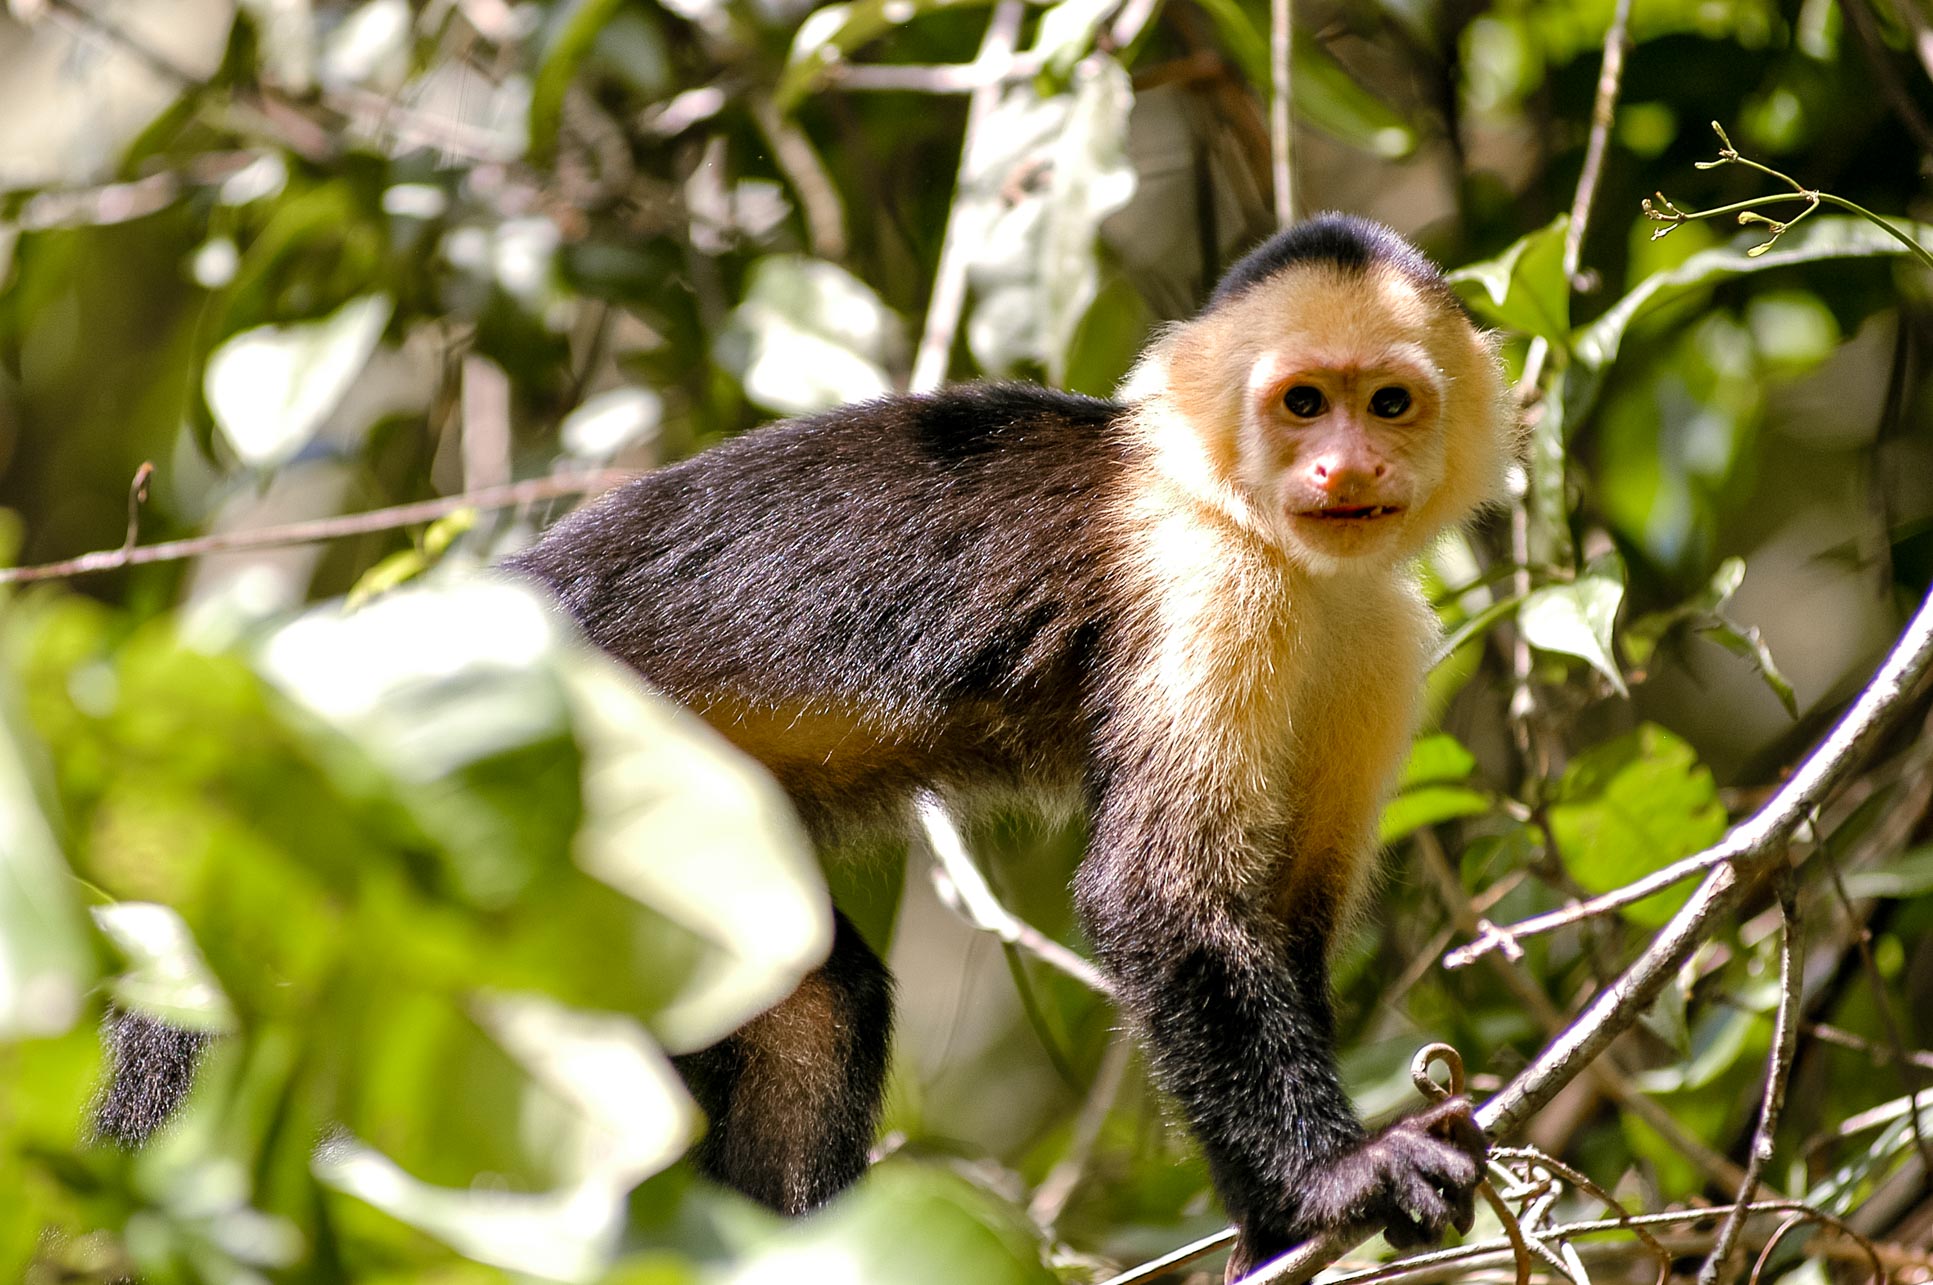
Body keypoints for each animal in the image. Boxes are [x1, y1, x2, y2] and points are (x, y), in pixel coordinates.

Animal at [99, 213, 1511, 1278]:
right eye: (1302, 404)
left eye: (1388, 403)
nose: (1343, 469)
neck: (1266, 539)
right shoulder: (1209, 587)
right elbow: (1159, 897)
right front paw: (1332, 1183)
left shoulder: (1383, 641)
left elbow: (1285, 919)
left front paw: (1272, 1224)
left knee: (804, 992)